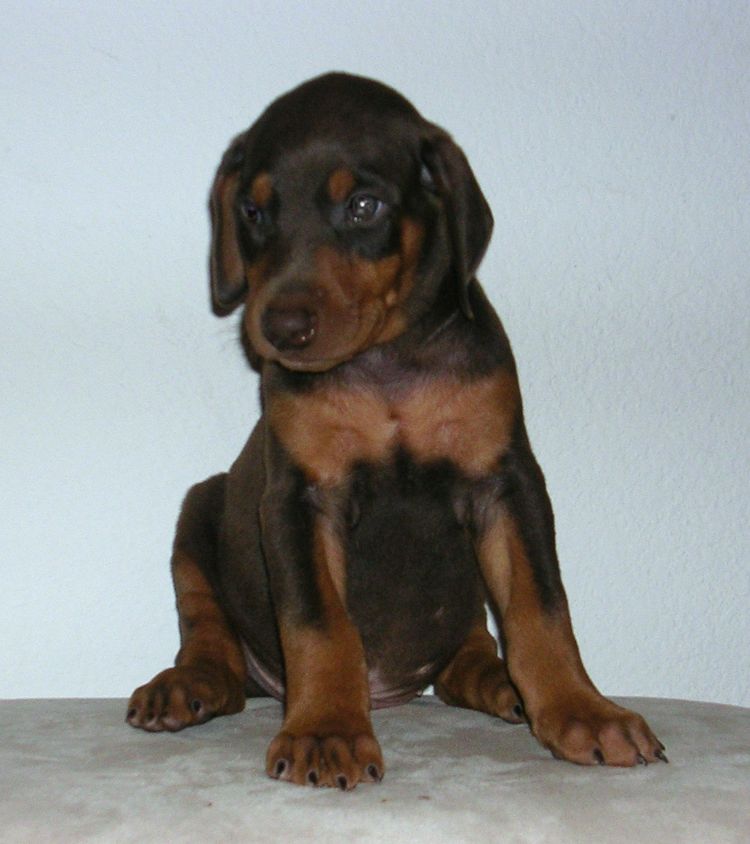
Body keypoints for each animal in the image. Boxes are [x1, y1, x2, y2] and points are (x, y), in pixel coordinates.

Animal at [127, 72, 665, 788]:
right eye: (253, 212)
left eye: (364, 206)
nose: (280, 328)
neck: (386, 363)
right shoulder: (299, 497)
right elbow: (320, 623)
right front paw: (327, 729)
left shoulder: (508, 481)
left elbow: (542, 608)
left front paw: (583, 711)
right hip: (200, 508)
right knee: (209, 631)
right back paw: (189, 684)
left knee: (472, 643)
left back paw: (501, 683)